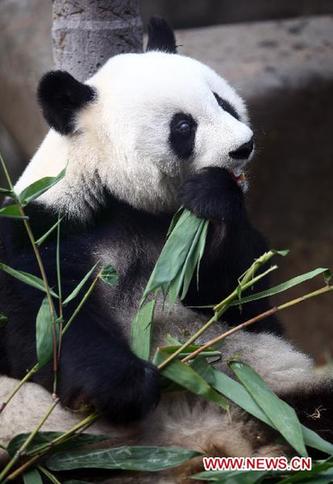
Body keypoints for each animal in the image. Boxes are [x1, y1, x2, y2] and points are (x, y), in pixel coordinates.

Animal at [0, 17, 332, 482]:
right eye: (183, 127)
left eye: (223, 103)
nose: (243, 147)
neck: (126, 202)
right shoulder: (42, 232)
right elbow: (44, 321)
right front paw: (128, 385)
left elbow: (246, 296)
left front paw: (213, 196)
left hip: (274, 390)